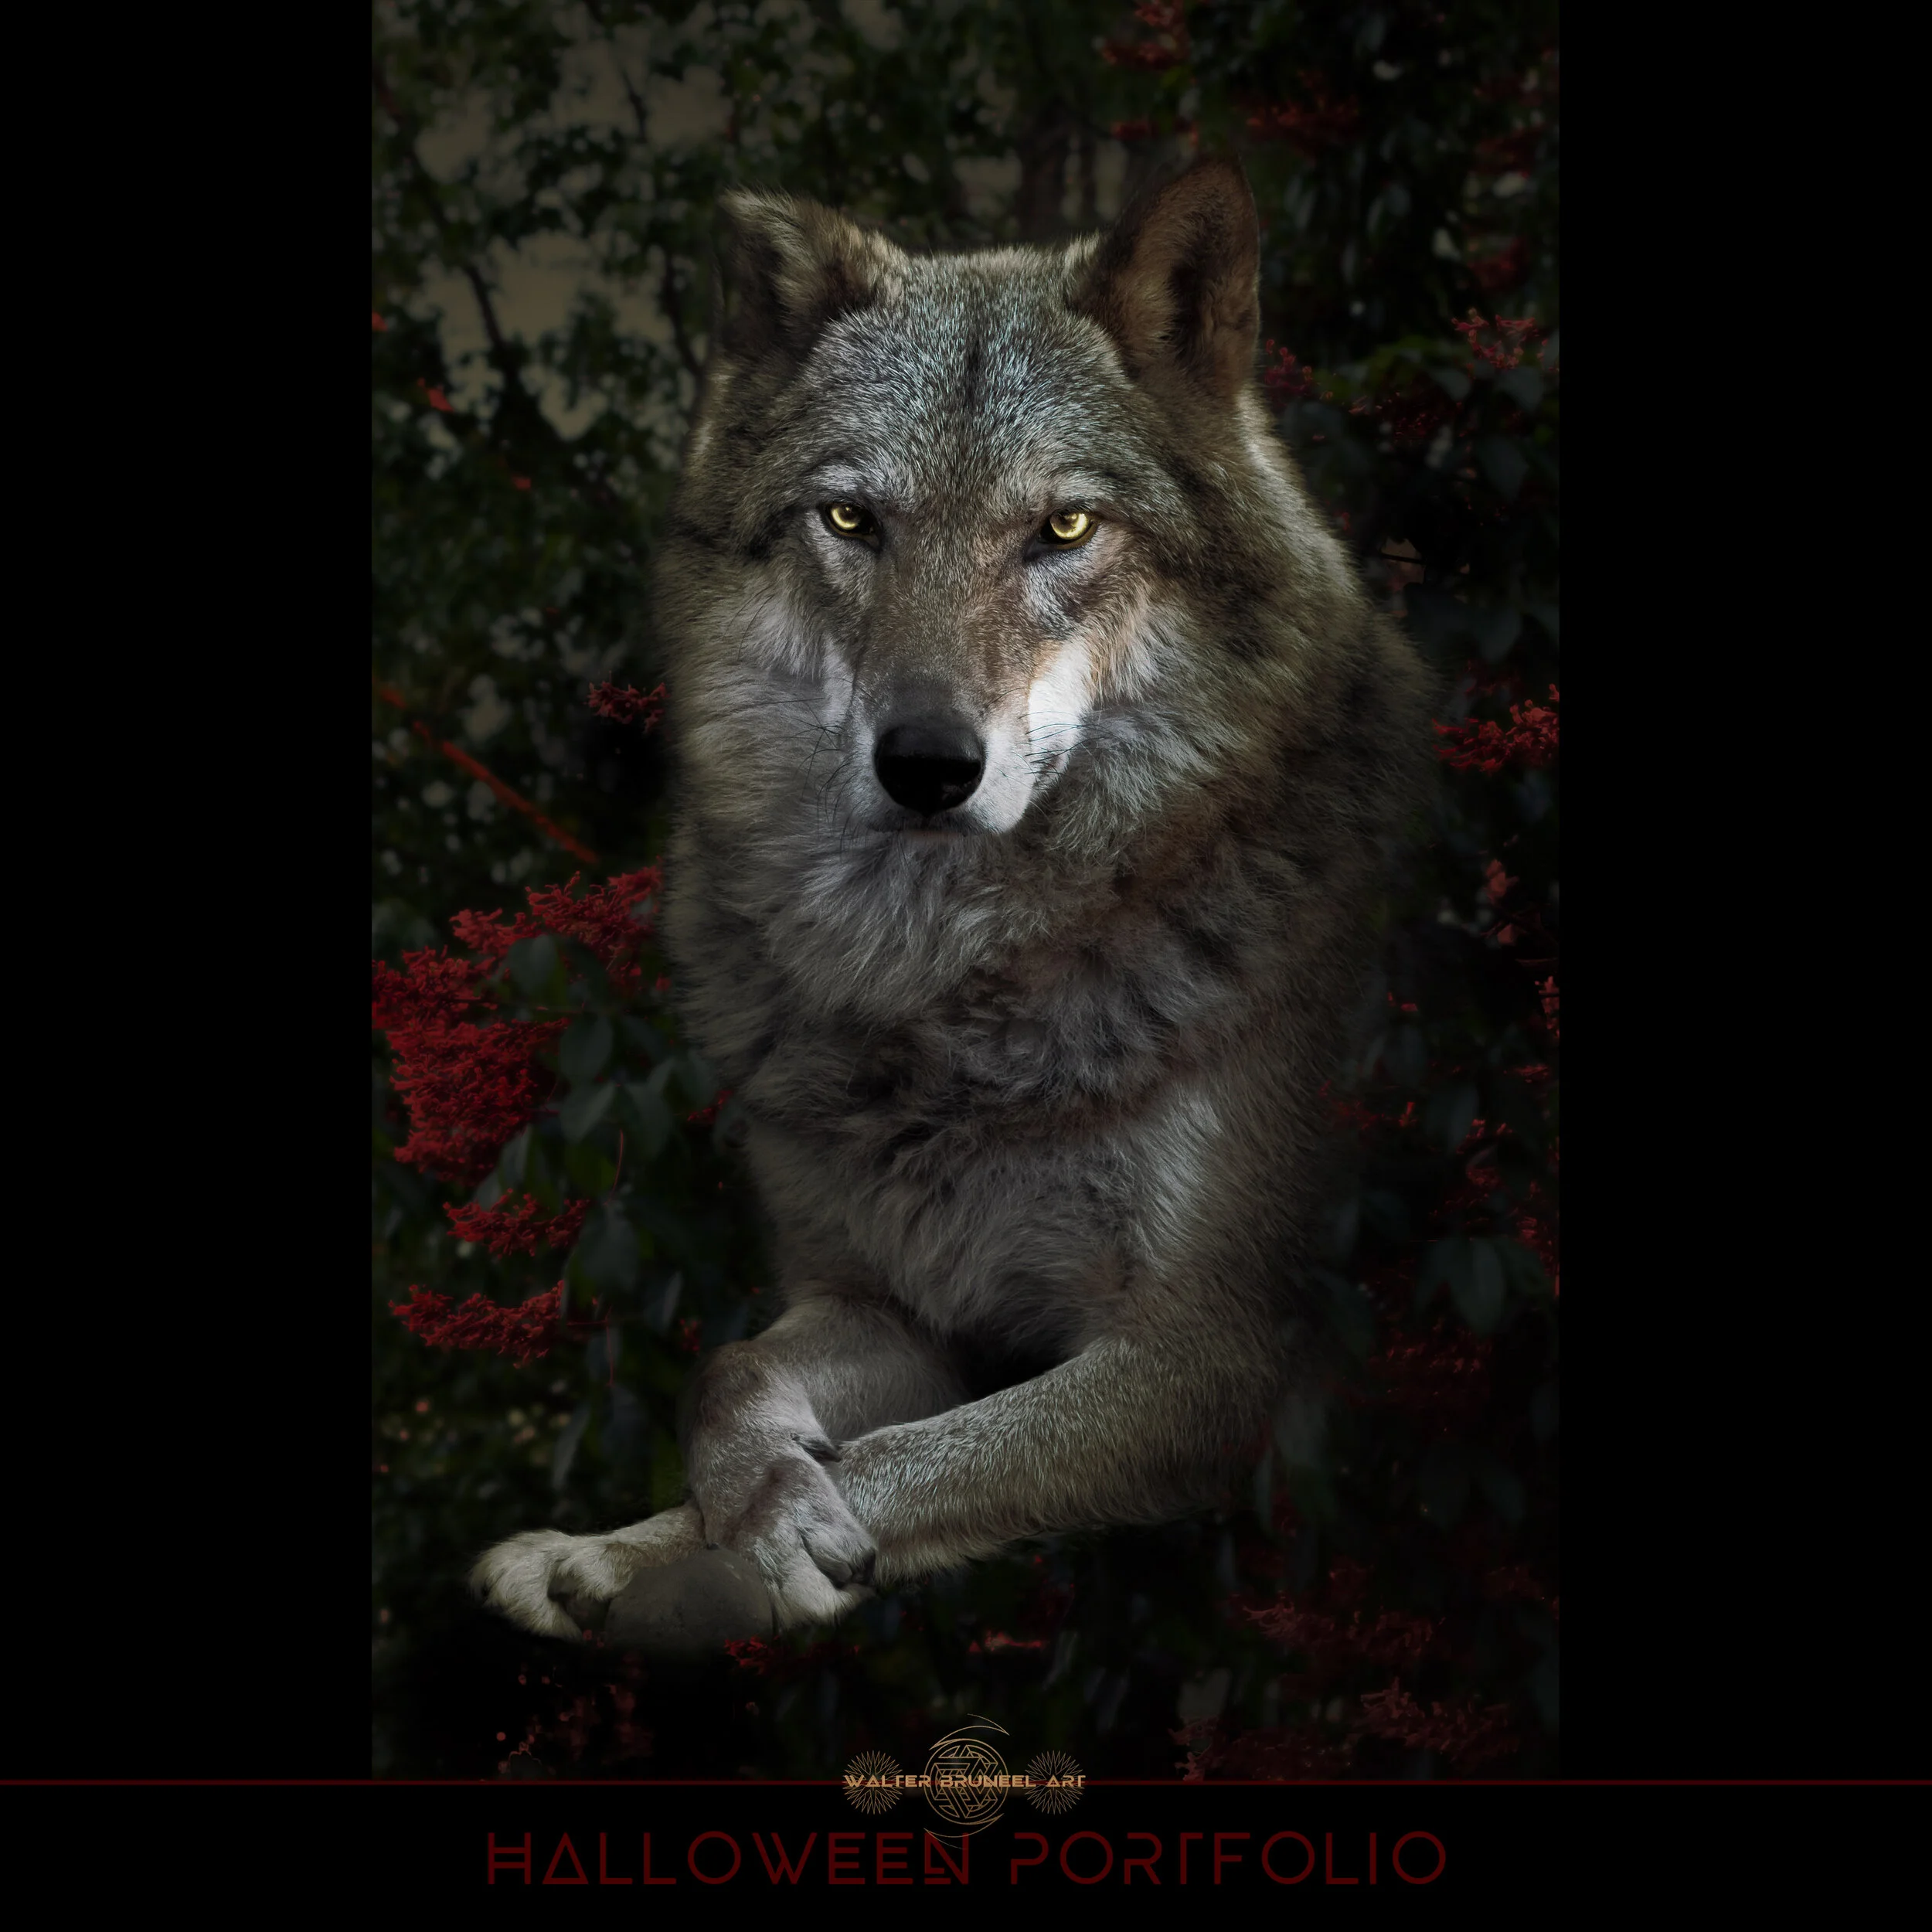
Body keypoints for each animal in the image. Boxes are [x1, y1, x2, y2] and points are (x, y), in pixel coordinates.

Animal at [471, 156, 1433, 1643]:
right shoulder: (895, 1305)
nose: (926, 765)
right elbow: (730, 1381)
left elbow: (903, 1463)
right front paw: (637, 1545)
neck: (946, 997)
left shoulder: (1217, 1352)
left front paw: (763, 1549)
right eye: (852, 519)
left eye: (1066, 527)